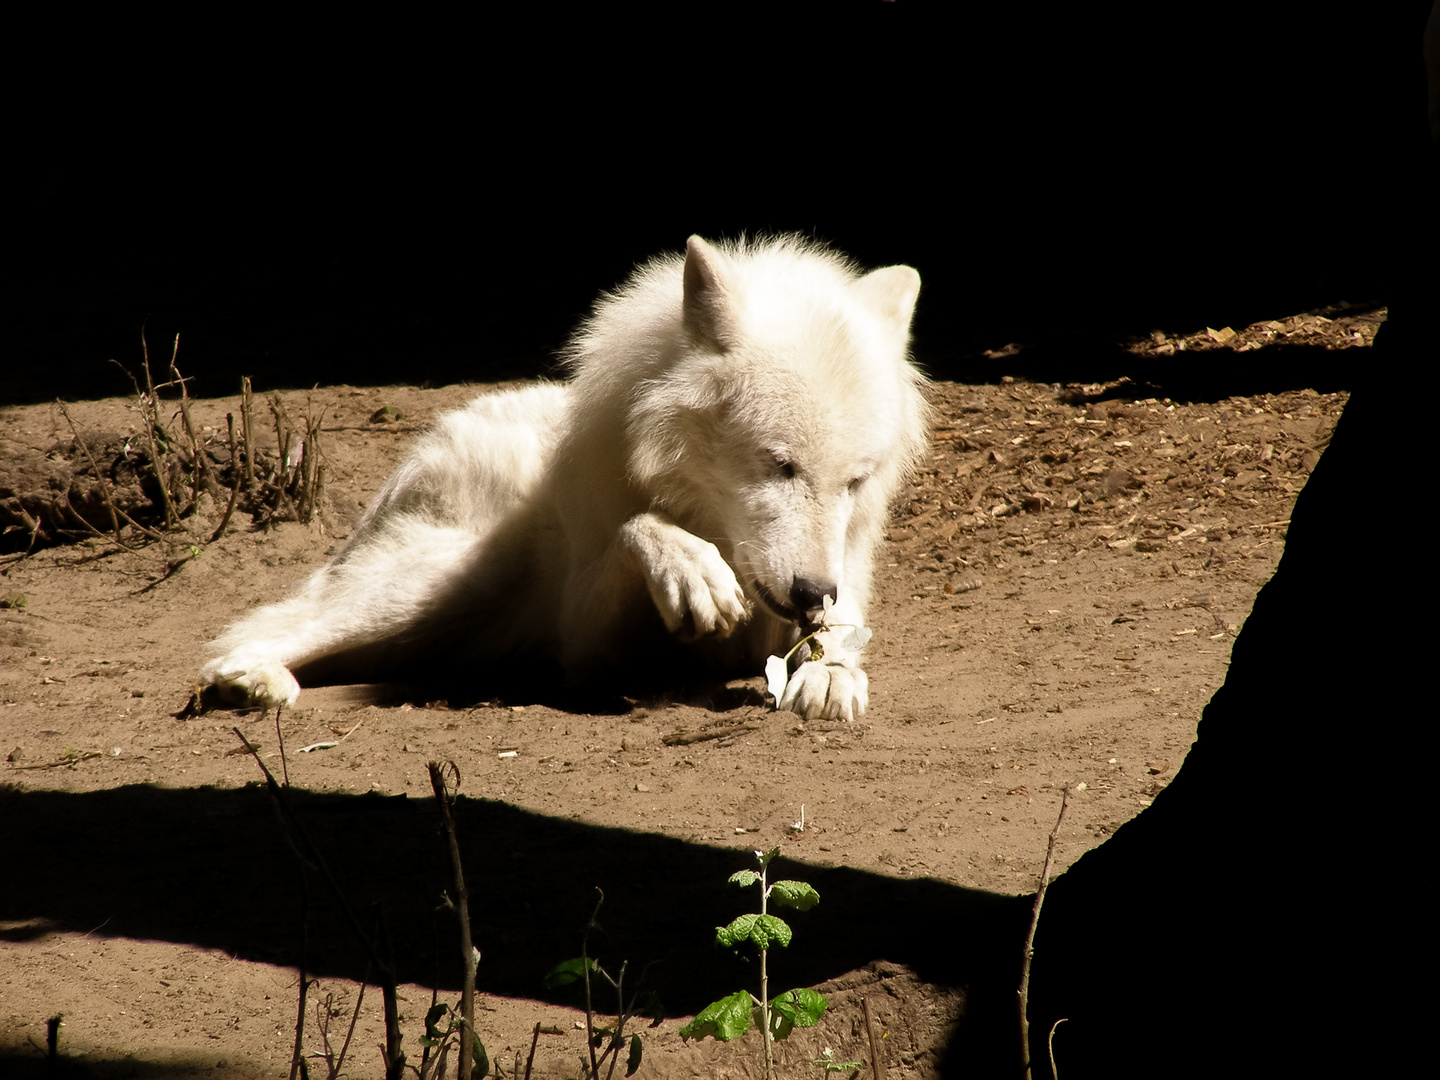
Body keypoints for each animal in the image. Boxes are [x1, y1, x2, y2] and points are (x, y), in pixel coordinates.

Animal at [200, 233, 921, 722]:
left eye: (854, 483)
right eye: (779, 464)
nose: (813, 591)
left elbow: (838, 631)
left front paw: (832, 671)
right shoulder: (587, 648)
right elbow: (637, 529)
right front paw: (690, 570)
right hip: (442, 584)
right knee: (255, 630)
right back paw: (250, 681)